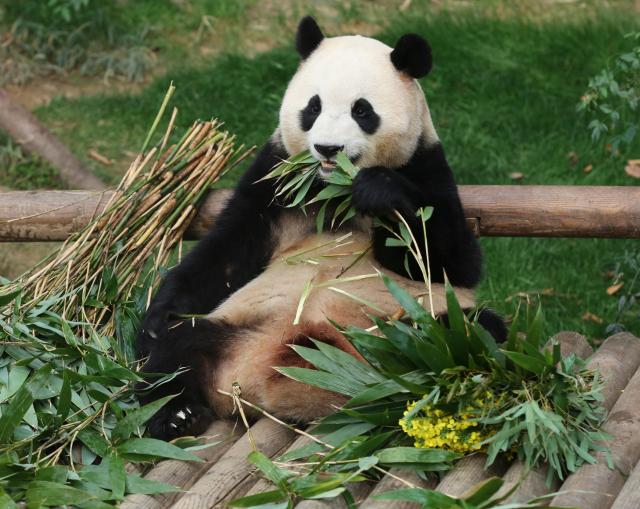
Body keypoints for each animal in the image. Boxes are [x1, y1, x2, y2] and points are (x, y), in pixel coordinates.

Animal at [137, 16, 506, 440]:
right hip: (229, 327)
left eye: (362, 110)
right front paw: (158, 316)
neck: (333, 187)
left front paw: (379, 192)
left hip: (412, 327)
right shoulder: (276, 176)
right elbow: (226, 252)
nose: (328, 149)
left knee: (469, 331)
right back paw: (176, 414)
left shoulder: (426, 166)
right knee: (174, 351)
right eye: (313, 107)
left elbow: (450, 262)